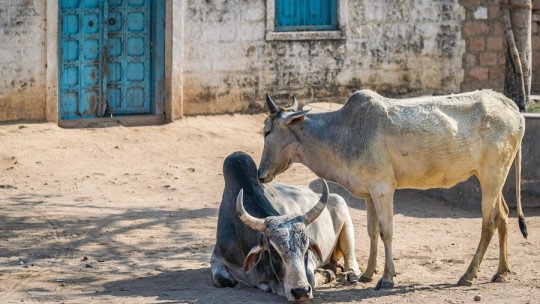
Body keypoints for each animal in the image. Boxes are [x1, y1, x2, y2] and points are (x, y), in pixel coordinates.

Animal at [211, 152, 358, 302]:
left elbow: (312, 280)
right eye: (273, 251)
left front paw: (328, 272)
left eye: (306, 249)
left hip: (342, 207)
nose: (301, 291)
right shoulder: (217, 257)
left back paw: (350, 273)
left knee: (350, 256)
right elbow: (223, 280)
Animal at [258, 89, 528, 290]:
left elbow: (386, 231)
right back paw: (502, 272)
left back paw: (468, 275)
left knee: (489, 222)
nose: (261, 174)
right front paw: (367, 273)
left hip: (492, 176)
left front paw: (387, 278)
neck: (343, 132)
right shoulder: (369, 193)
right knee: (503, 215)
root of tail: (512, 108)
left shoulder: (383, 189)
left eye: (267, 131)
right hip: (494, 178)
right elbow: (372, 231)